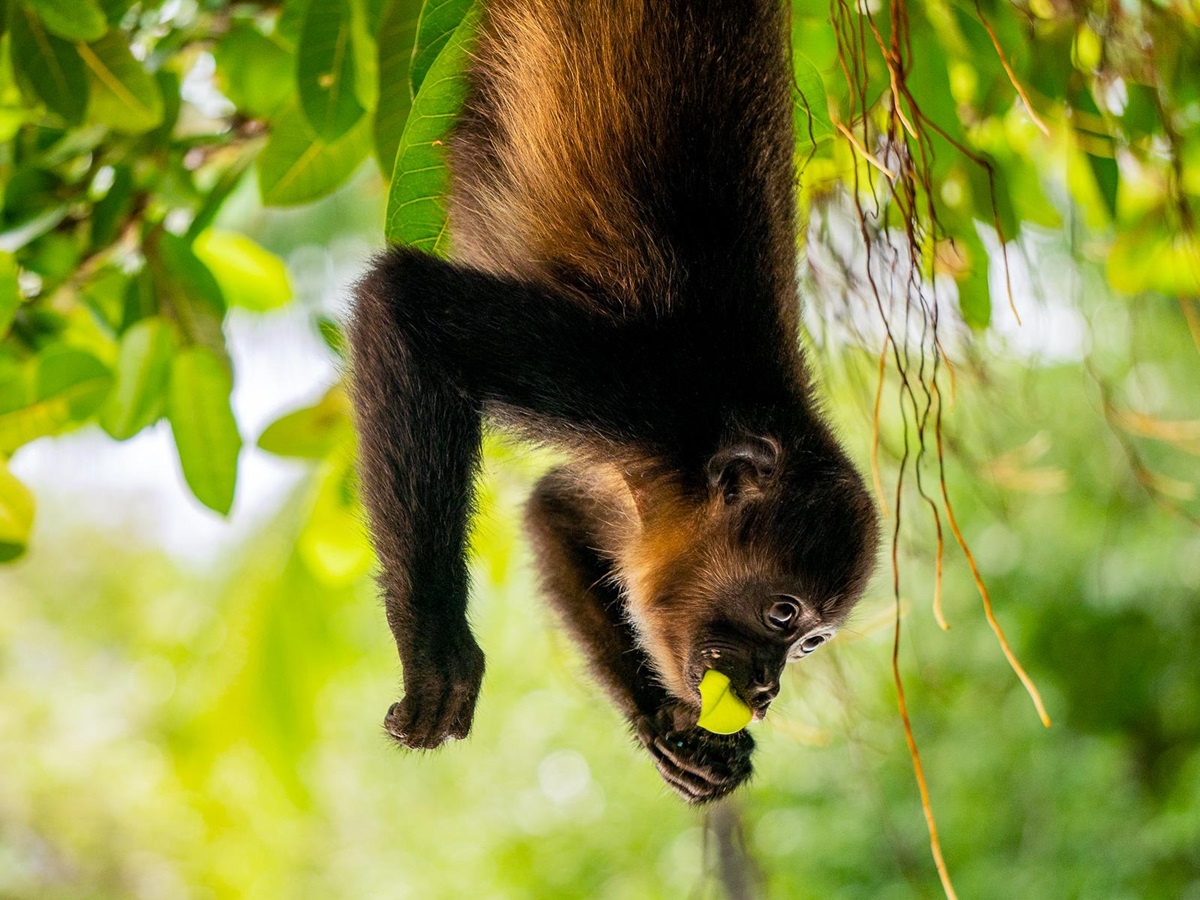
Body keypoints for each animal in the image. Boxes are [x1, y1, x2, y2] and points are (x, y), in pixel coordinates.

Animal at [347, 0, 880, 804]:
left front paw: (674, 732)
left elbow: (552, 511)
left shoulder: (645, 490)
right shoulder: (646, 390)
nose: (766, 690)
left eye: (813, 643)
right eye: (782, 614)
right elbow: (402, 304)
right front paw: (438, 649)